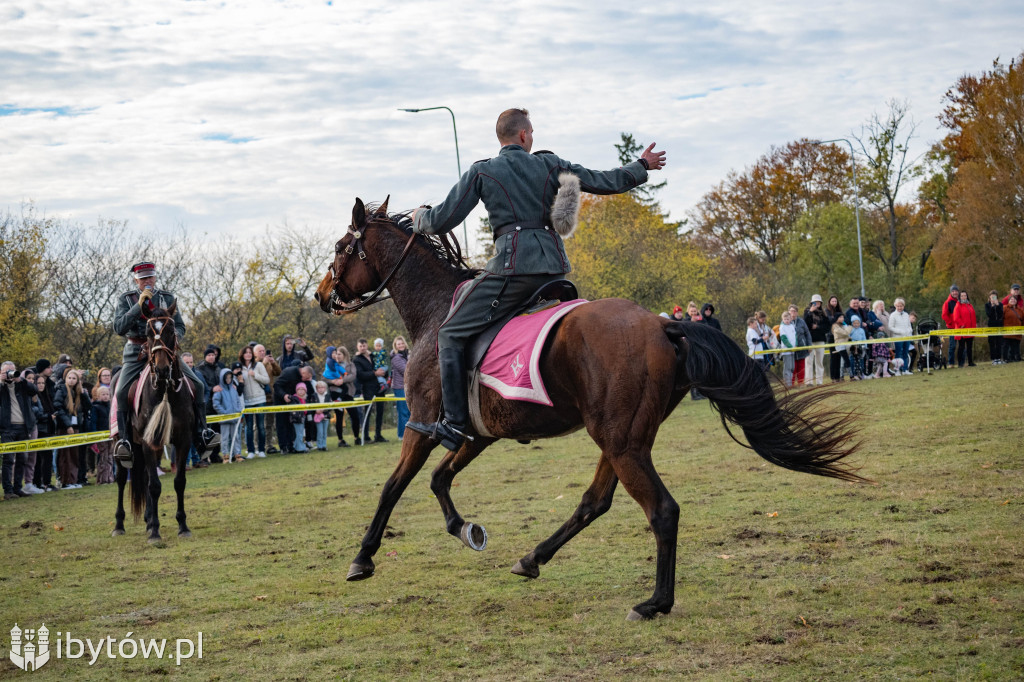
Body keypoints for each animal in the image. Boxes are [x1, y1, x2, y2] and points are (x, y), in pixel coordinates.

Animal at [113, 303, 194, 540]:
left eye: (171, 331)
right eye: (148, 334)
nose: (162, 370)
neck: (164, 390)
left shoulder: (183, 440)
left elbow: (179, 482)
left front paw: (182, 526)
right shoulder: (148, 442)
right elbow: (155, 486)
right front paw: (155, 532)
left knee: (146, 477)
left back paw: (148, 519)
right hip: (121, 443)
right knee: (121, 478)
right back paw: (119, 525)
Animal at [313, 196, 864, 614]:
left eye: (341, 248)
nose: (320, 295)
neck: (436, 312)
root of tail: (663, 324)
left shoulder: (426, 425)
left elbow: (395, 485)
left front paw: (363, 558)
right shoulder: (477, 433)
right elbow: (438, 479)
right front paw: (465, 529)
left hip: (619, 442)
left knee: (662, 510)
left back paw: (655, 603)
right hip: (622, 438)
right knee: (595, 502)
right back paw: (534, 558)